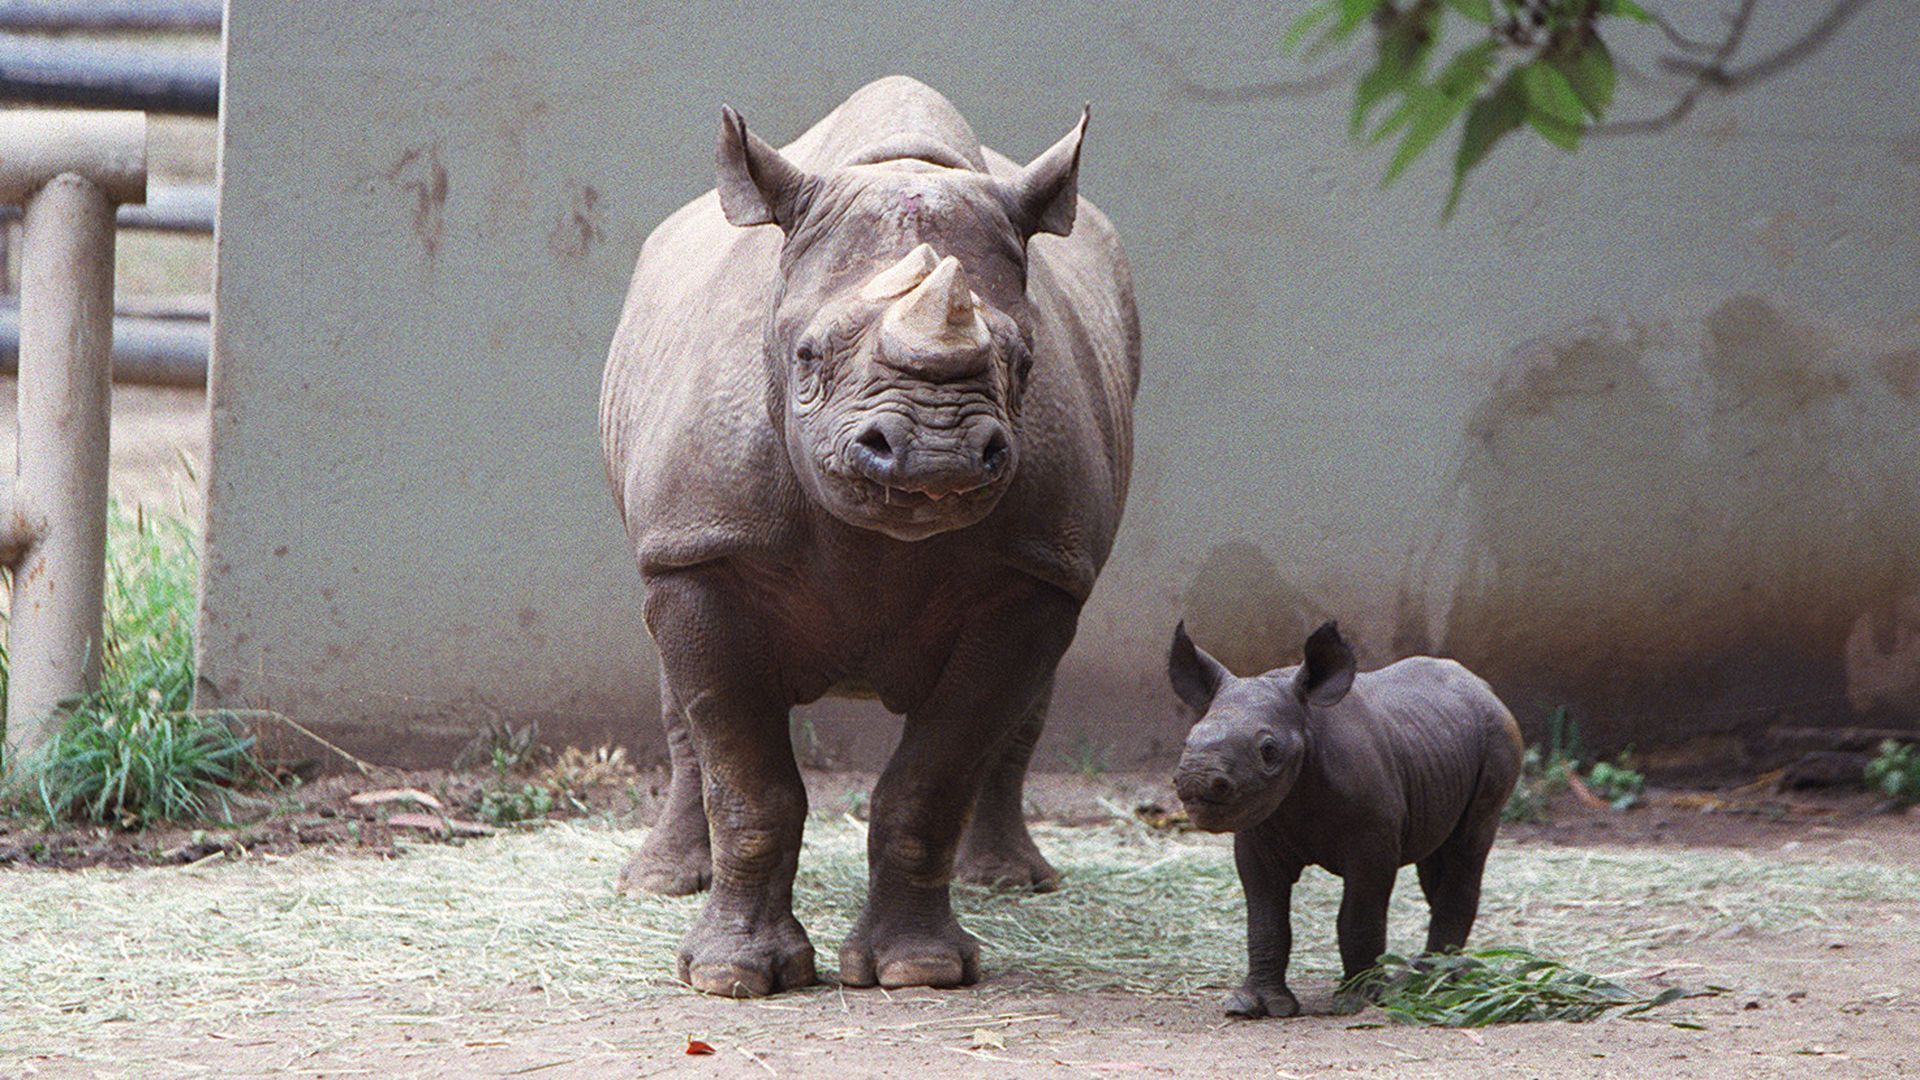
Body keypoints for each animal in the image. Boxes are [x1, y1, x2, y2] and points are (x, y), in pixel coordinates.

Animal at [600, 77, 1139, 996]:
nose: (936, 452)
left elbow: (933, 778)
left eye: (1025, 363)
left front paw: (918, 970)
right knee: (680, 692)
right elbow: (748, 780)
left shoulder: (1034, 576)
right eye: (808, 356)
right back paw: (660, 883)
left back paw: (1006, 882)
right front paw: (732, 977)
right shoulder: (701, 548)